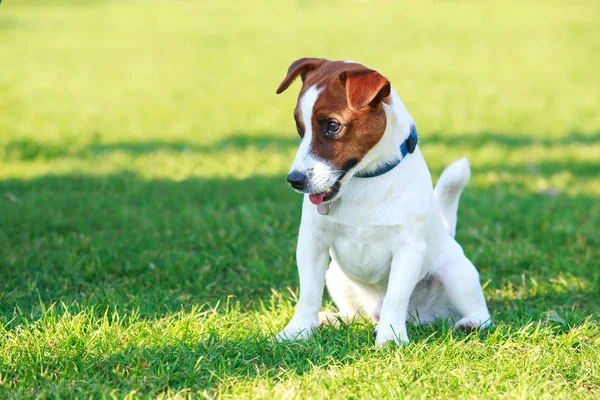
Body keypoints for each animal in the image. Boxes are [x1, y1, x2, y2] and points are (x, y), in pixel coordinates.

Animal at [274, 57, 490, 346]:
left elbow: (396, 298)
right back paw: (331, 319)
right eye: (300, 128)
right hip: (336, 276)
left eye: (333, 126)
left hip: (457, 275)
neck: (365, 179)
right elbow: (308, 294)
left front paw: (391, 337)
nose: (294, 180)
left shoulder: (408, 250)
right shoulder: (312, 243)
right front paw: (297, 331)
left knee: (481, 312)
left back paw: (469, 323)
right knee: (355, 315)